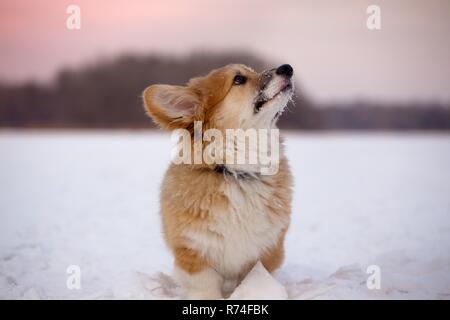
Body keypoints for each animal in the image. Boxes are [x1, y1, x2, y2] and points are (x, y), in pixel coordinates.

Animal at [142, 63, 294, 300]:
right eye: (239, 79)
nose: (287, 68)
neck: (236, 172)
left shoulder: (265, 251)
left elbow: (256, 280)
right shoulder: (194, 253)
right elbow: (205, 288)